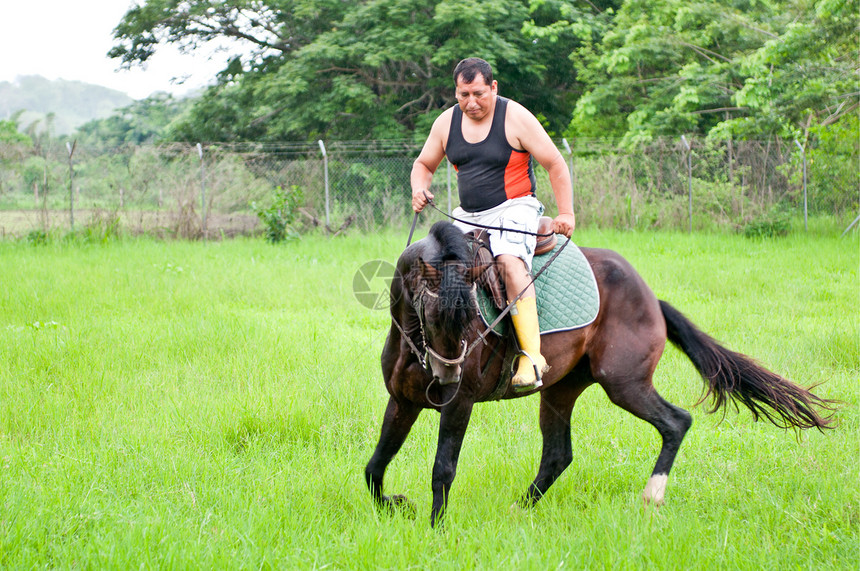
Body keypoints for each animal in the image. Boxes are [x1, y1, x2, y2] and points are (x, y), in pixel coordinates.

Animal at [366, 221, 836, 528]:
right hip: (559, 392)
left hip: (624, 384)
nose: (445, 381)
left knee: (676, 422)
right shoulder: (402, 402)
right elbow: (375, 466)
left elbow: (442, 468)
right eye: (433, 317)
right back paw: (520, 509)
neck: (416, 346)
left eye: (468, 321)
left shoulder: (459, 405)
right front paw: (396, 506)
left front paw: (436, 531)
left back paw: (652, 496)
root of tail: (651, 297)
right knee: (558, 455)